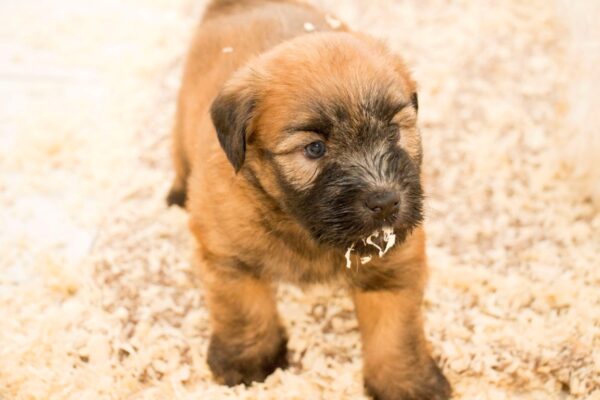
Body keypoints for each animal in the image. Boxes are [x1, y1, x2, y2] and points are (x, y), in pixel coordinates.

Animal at [168, 1, 450, 398]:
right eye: (315, 149)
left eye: (394, 132)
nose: (385, 202)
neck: (300, 226)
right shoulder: (228, 256)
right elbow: (243, 309)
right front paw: (246, 359)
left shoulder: (394, 266)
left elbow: (397, 334)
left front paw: (407, 382)